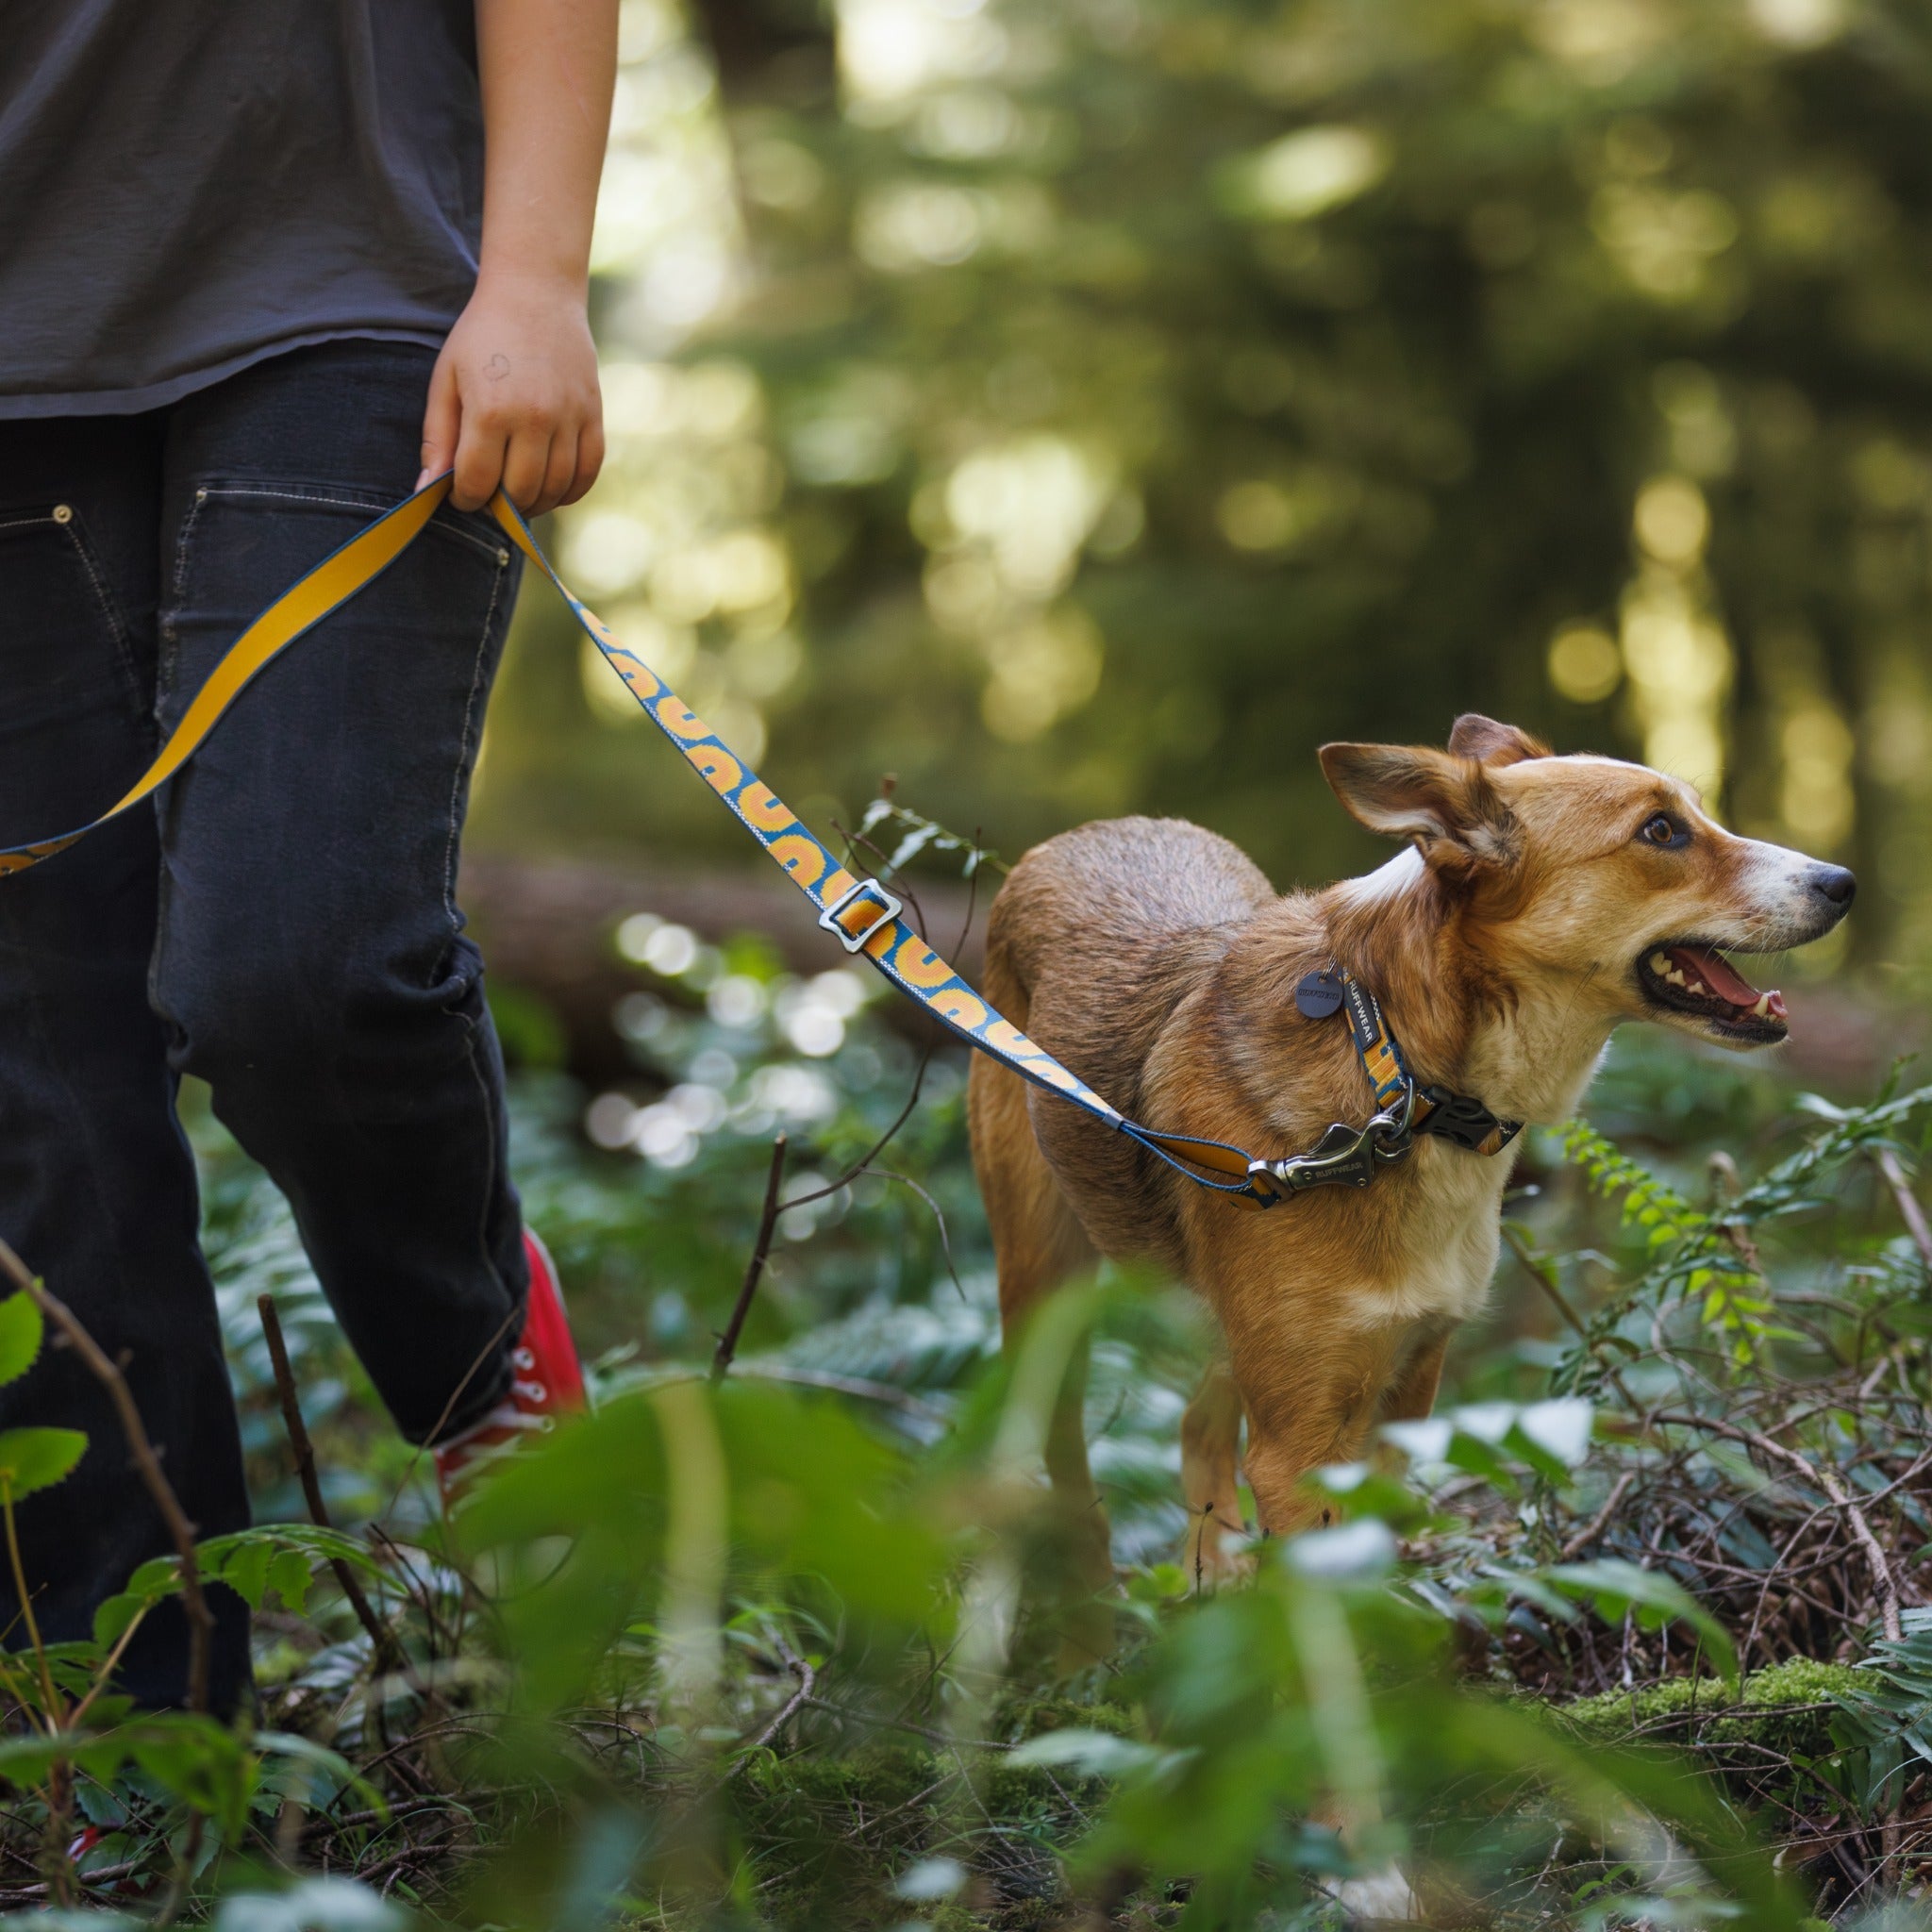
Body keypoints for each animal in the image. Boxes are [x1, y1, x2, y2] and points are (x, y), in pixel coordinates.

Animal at [966, 710, 1855, 1599]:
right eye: (1661, 831)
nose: (1842, 882)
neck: (1396, 1073)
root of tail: (1088, 832)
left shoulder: (1406, 1395)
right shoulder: (1297, 1450)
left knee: (1194, 1427)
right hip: (1042, 1282)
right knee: (1059, 1461)